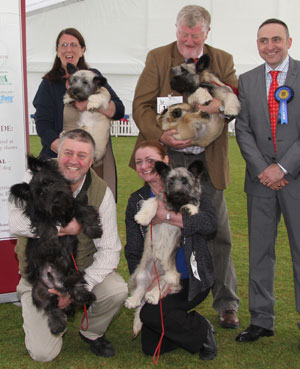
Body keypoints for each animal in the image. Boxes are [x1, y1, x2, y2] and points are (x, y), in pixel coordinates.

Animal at [9, 155, 102, 334]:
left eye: (50, 182)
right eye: (40, 194)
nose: (56, 200)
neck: (60, 213)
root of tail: (57, 284)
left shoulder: (71, 205)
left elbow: (84, 209)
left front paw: (94, 229)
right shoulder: (41, 217)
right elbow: (48, 227)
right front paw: (51, 245)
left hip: (74, 273)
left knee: (75, 289)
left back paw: (85, 296)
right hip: (39, 292)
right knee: (50, 307)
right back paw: (57, 325)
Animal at [124, 160, 204, 334]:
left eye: (185, 182)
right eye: (171, 181)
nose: (178, 194)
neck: (174, 205)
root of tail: (154, 278)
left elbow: (195, 205)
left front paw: (189, 208)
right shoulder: (158, 199)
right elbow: (153, 202)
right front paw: (143, 217)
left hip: (172, 276)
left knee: (161, 288)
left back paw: (152, 296)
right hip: (142, 273)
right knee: (141, 291)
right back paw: (133, 300)